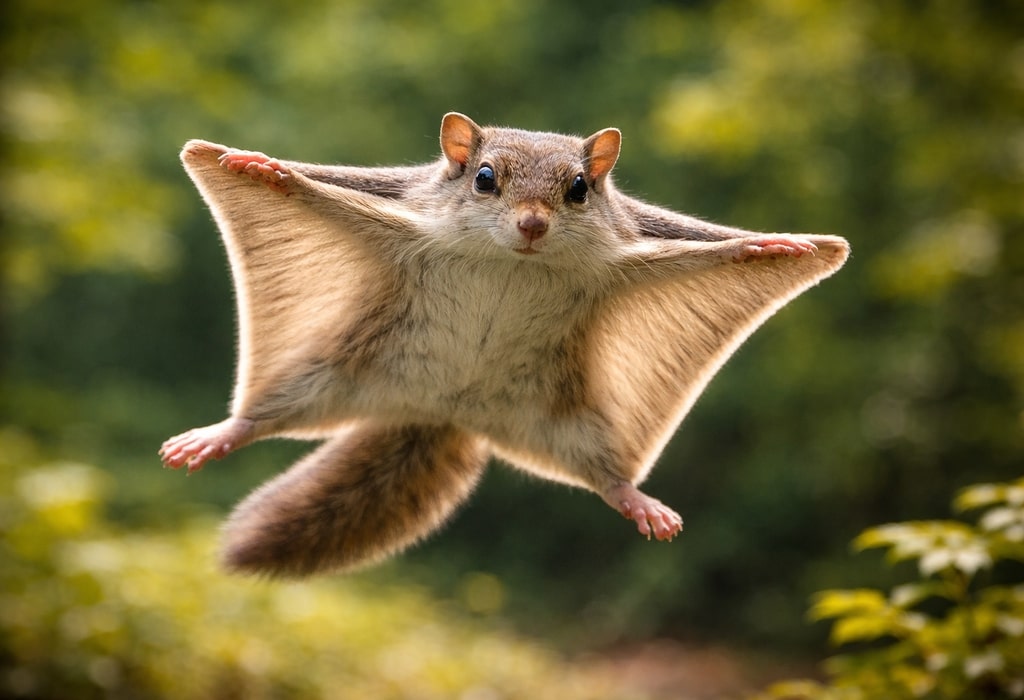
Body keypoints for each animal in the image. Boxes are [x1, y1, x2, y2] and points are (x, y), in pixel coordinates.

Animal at [160, 113, 849, 578]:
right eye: (485, 177)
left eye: (580, 188)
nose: (533, 224)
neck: (512, 263)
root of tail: (445, 410)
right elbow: (312, 184)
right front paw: (265, 168)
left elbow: (715, 245)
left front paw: (769, 246)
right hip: (322, 374)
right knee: (262, 418)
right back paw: (220, 434)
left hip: (574, 428)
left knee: (604, 480)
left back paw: (637, 501)